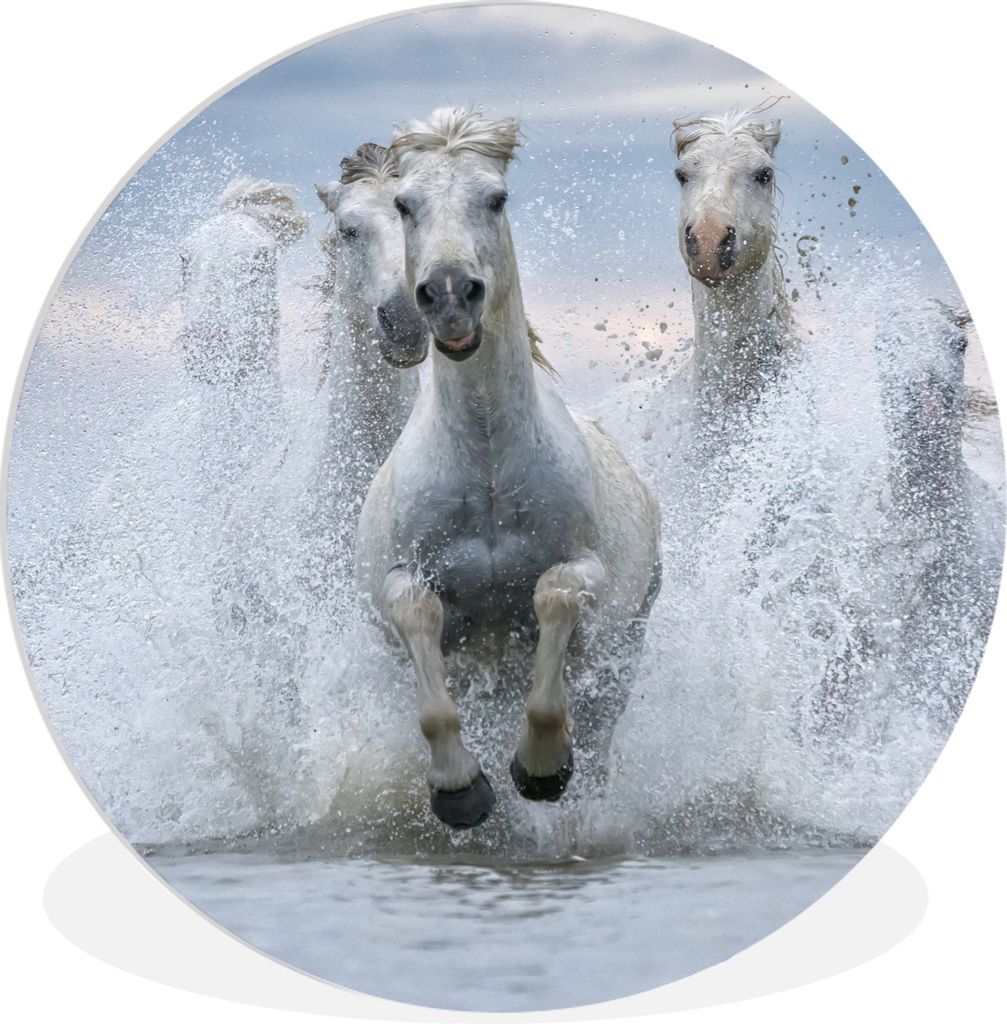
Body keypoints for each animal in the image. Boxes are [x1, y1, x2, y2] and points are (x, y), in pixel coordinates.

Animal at [355, 108, 662, 829]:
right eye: (404, 204)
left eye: (495, 197)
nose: (447, 296)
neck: (489, 464)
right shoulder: (401, 580)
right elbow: (421, 623)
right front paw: (460, 789)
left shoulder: (585, 569)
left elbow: (554, 597)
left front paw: (541, 768)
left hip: (623, 650)